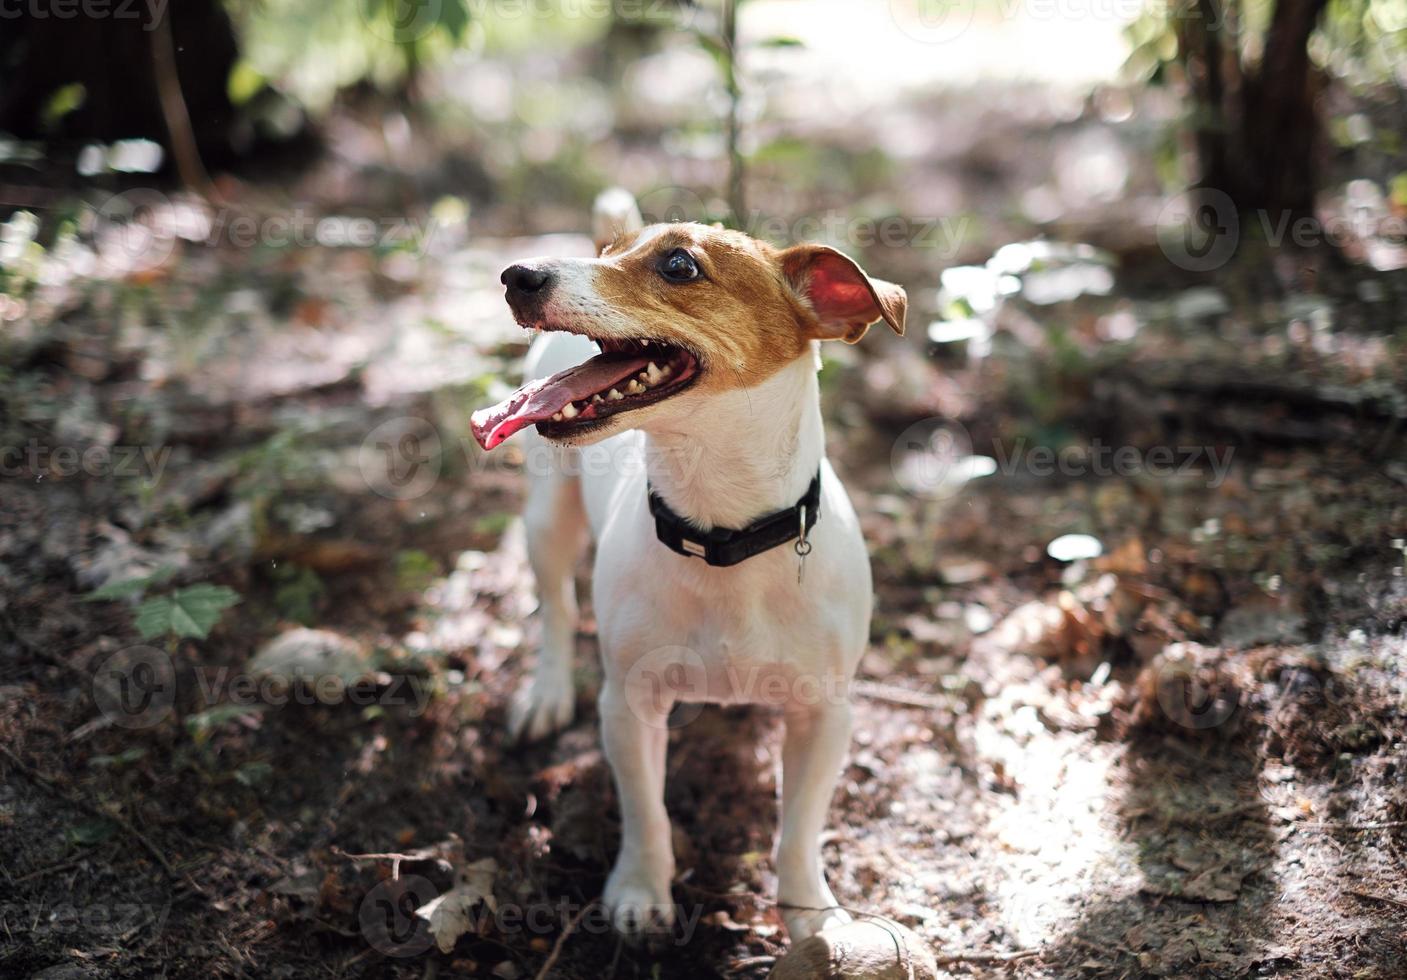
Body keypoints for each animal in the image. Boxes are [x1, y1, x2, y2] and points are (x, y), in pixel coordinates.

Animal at [472, 189, 906, 939]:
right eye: (610, 253)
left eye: (679, 265)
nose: (518, 275)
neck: (722, 533)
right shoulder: (628, 706)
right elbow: (646, 812)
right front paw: (641, 891)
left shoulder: (825, 715)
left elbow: (798, 829)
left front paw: (808, 912)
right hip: (546, 516)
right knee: (555, 607)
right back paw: (547, 692)